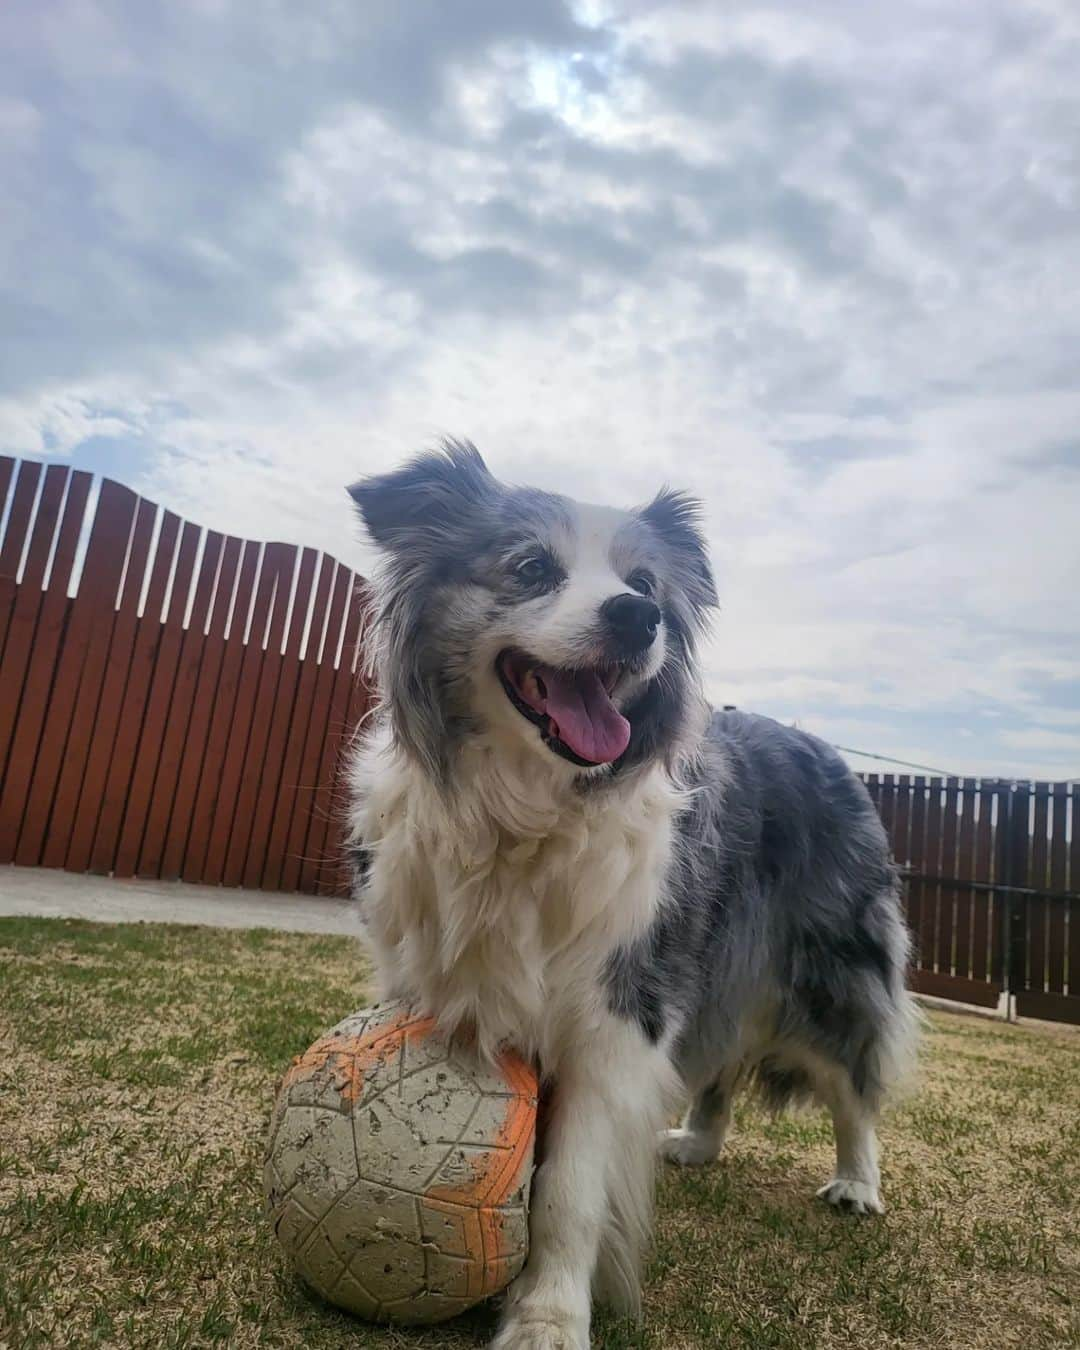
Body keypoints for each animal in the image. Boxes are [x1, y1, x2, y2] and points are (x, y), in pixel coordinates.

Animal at [344, 442, 912, 1350]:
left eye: (644, 584)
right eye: (532, 568)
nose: (636, 618)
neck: (524, 814)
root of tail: (823, 748)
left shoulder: (616, 1012)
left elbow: (569, 1192)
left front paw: (547, 1319)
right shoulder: (424, 979)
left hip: (831, 968)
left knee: (854, 1079)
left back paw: (858, 1183)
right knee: (721, 1061)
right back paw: (698, 1142)